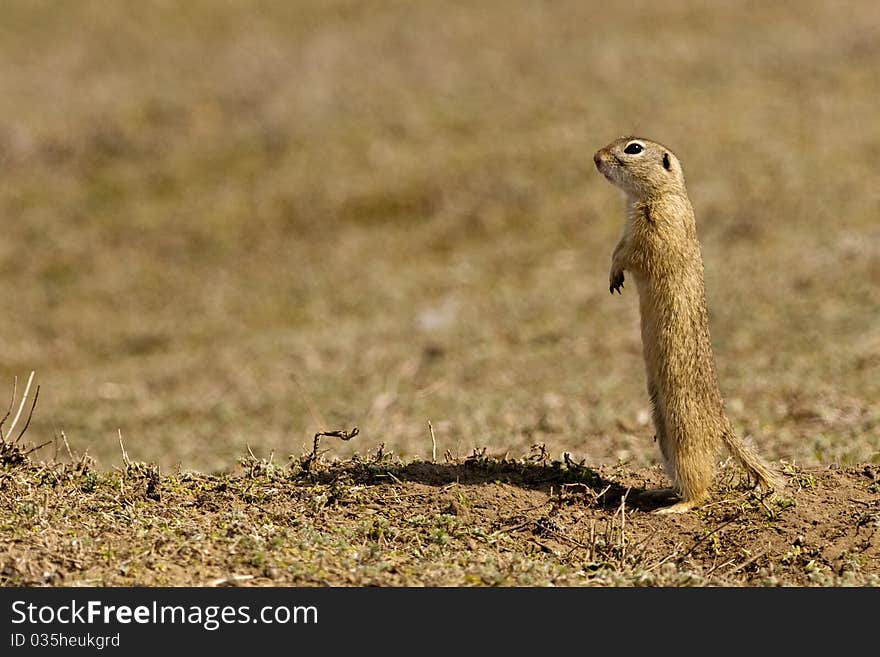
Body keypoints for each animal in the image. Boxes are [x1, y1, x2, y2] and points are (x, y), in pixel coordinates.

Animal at [596, 135, 780, 512]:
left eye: (633, 148)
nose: (596, 157)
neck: (658, 195)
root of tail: (721, 423)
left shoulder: (655, 229)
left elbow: (630, 253)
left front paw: (616, 274)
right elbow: (617, 248)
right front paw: (611, 279)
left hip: (683, 431)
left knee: (701, 487)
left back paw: (674, 508)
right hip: (663, 429)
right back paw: (658, 493)